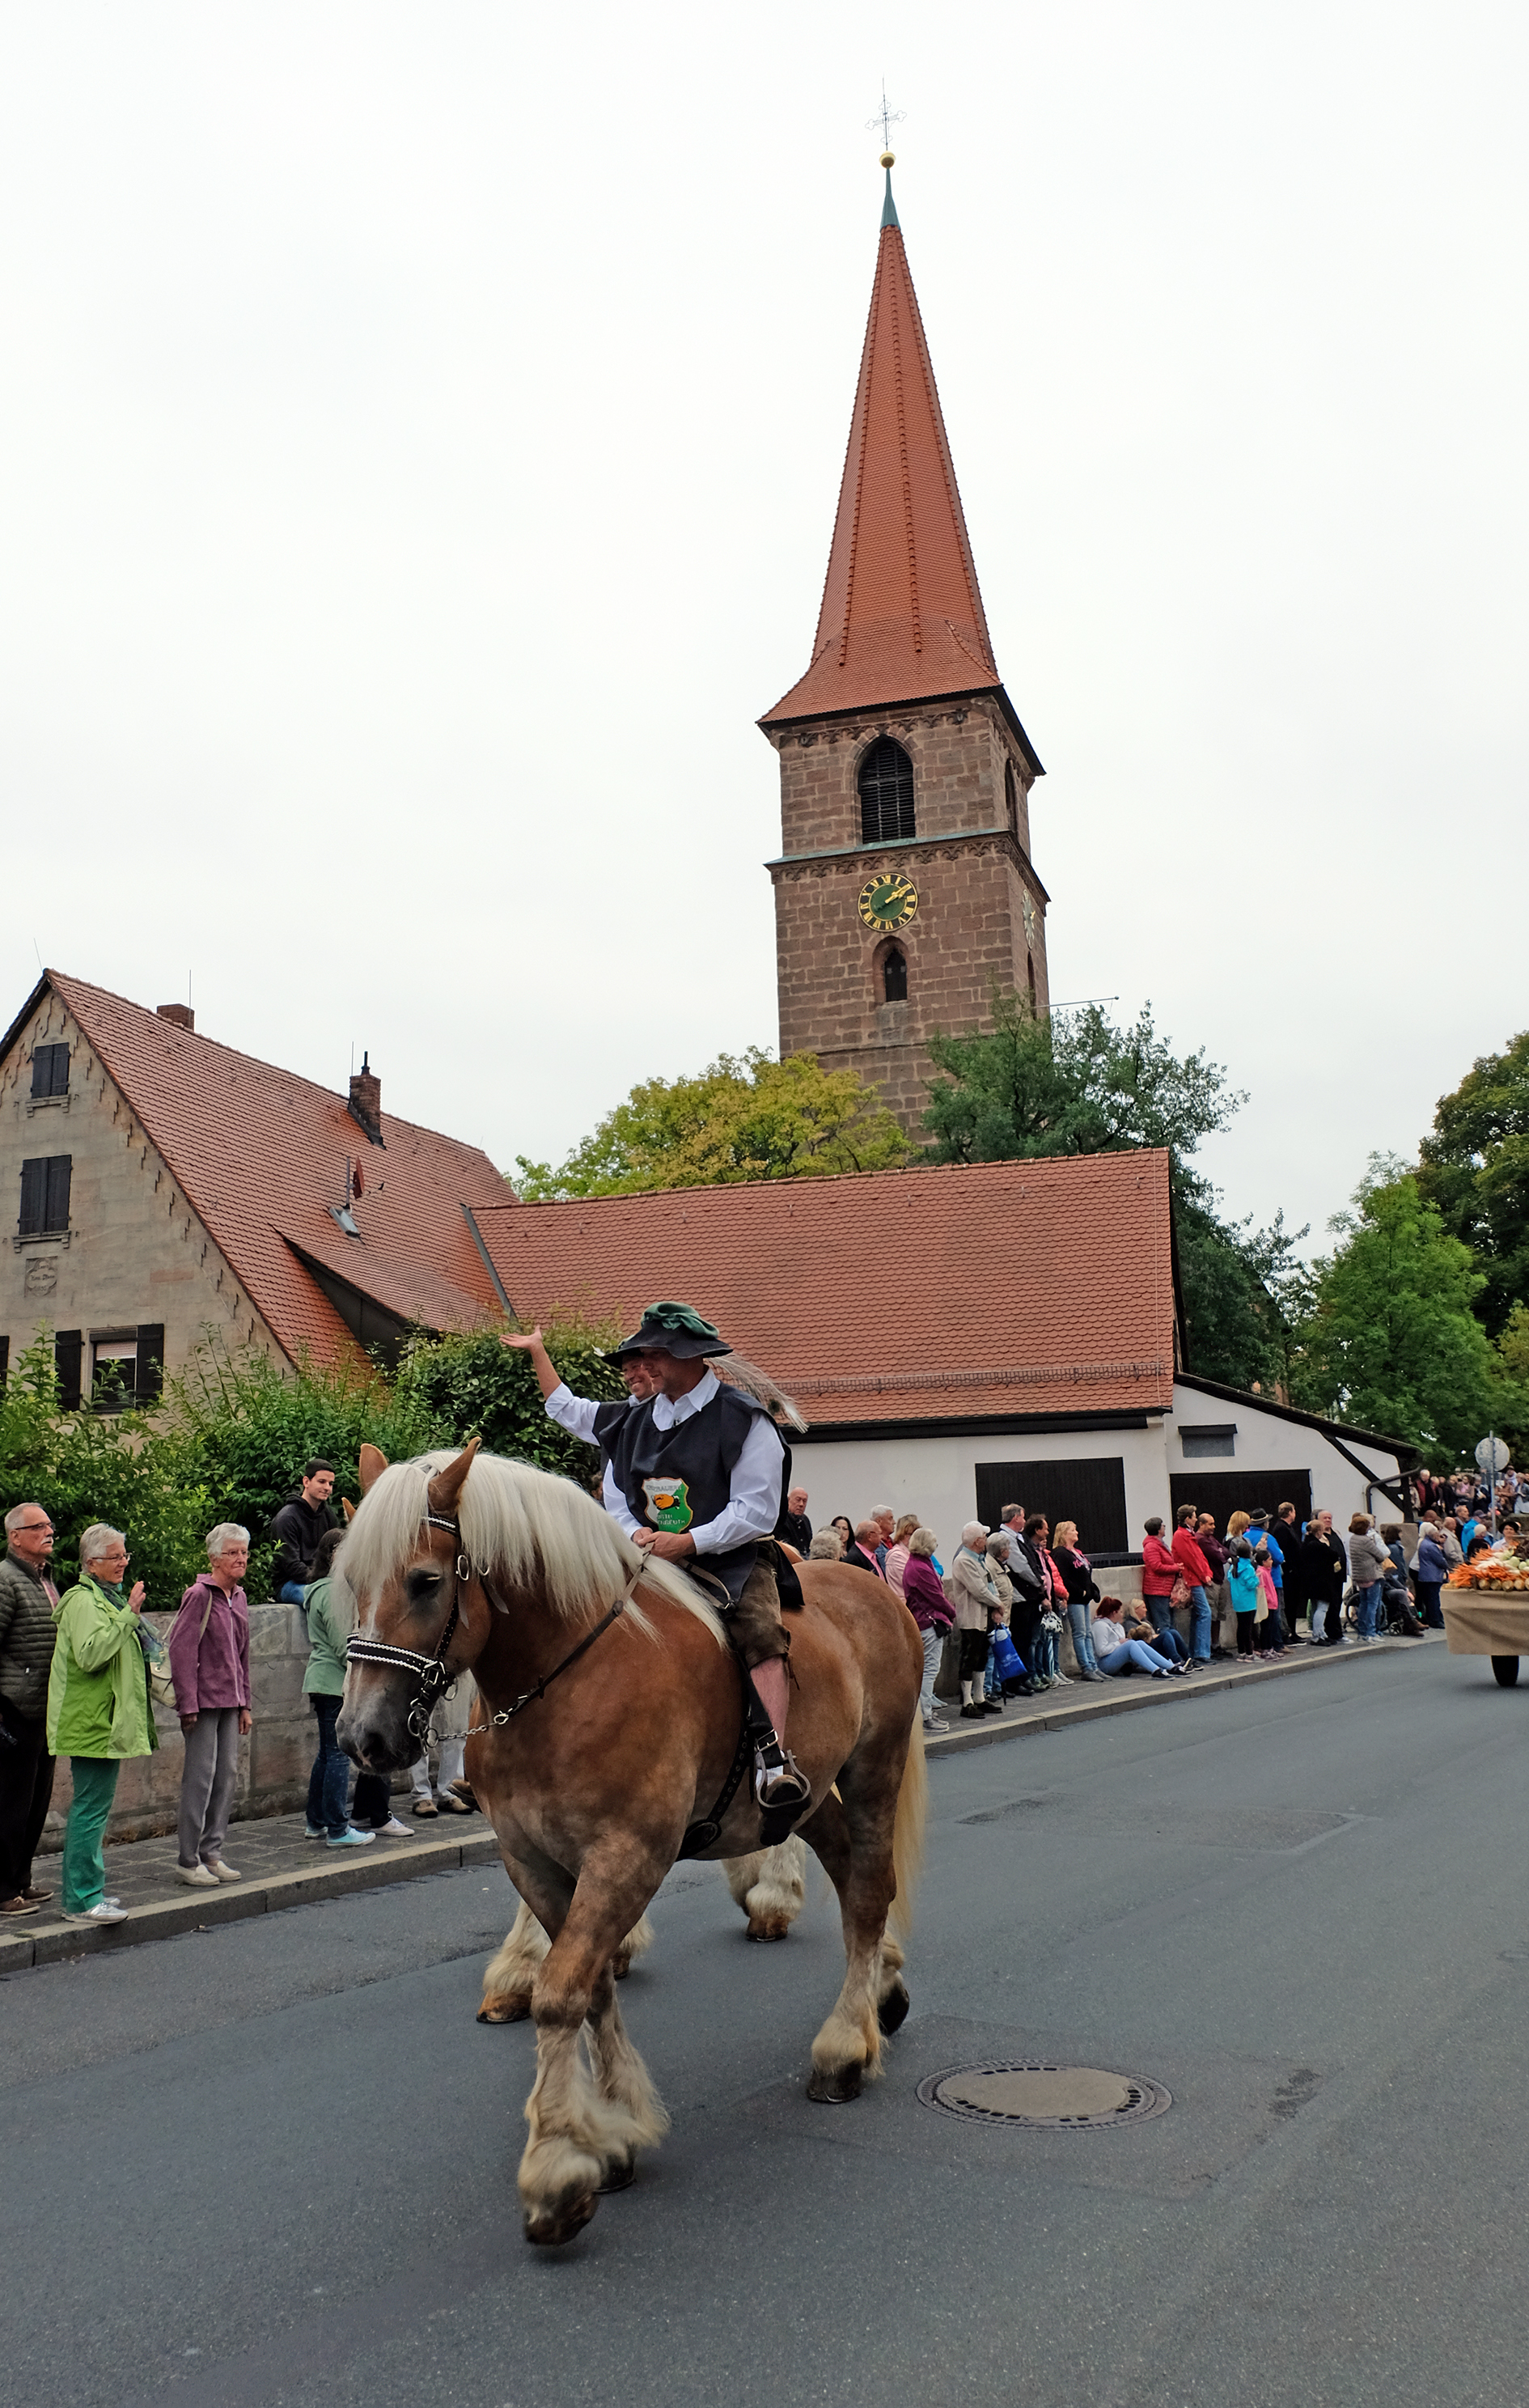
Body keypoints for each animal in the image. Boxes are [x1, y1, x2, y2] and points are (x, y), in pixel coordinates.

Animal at [337, 1438, 925, 2246]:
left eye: (425, 1582)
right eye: (351, 1581)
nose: (362, 1737)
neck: (560, 1682)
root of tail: (877, 1590)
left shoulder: (626, 1856)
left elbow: (561, 1993)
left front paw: (557, 2167)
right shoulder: (534, 1862)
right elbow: (587, 1986)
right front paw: (613, 2130)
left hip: (872, 1770)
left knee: (868, 1892)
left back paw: (844, 2047)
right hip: (810, 1799)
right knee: (846, 1876)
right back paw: (877, 1994)